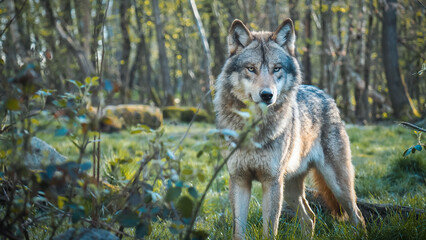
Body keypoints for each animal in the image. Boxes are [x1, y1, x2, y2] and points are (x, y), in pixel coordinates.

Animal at [215, 17, 364, 239]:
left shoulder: (272, 182)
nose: (267, 95)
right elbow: (238, 231)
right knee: (310, 218)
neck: (255, 129)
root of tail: (325, 94)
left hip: (336, 185)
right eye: (251, 68)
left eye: (277, 68)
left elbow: (270, 231)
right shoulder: (239, 180)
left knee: (357, 216)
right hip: (290, 189)